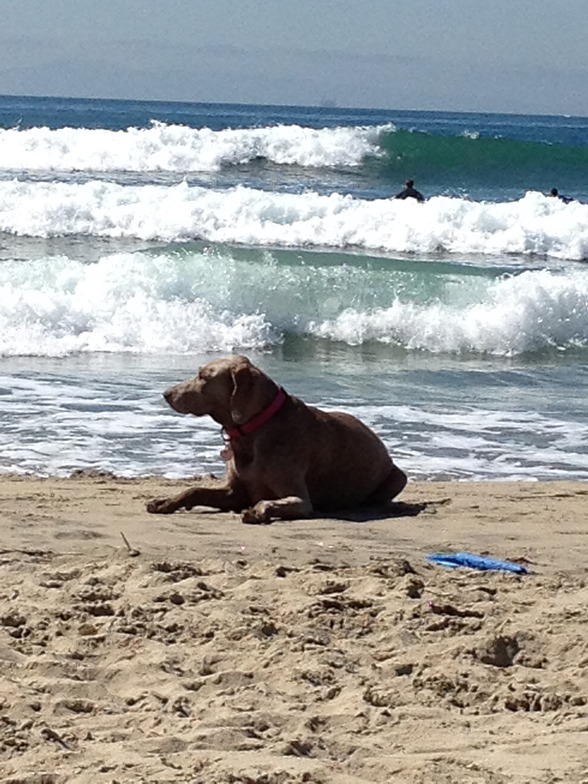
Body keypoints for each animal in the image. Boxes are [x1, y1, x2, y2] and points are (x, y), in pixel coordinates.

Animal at [147, 358, 406, 524]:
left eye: (203, 377)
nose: (167, 394)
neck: (254, 429)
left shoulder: (301, 500)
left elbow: (269, 501)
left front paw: (257, 512)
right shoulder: (236, 492)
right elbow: (194, 490)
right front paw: (164, 502)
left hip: (398, 478)